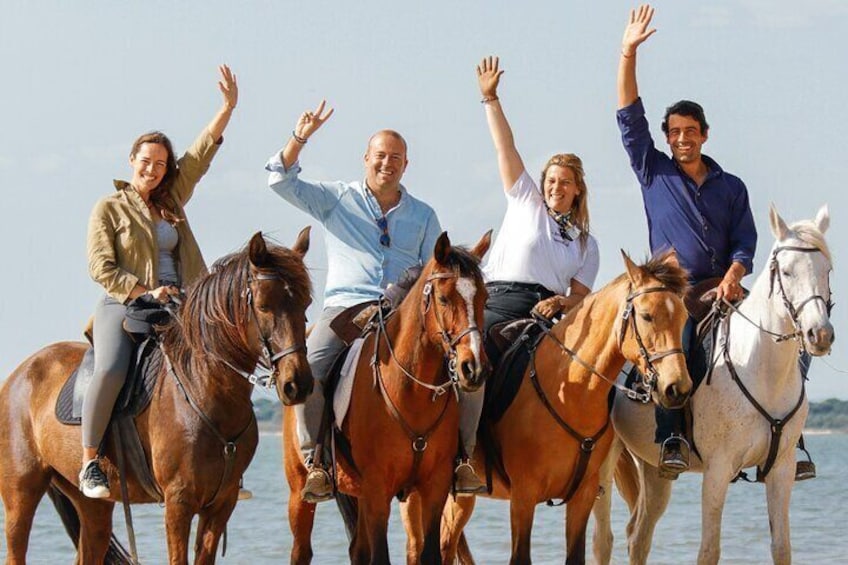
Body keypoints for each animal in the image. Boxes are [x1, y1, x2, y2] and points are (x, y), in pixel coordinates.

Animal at [0, 229, 314, 564]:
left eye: (306, 303)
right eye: (264, 306)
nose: (298, 384)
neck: (206, 389)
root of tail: (19, 374)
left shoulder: (221, 504)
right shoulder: (179, 501)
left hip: (92, 507)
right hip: (21, 493)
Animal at [284, 230, 494, 564]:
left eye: (484, 298)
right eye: (444, 298)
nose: (473, 368)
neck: (410, 392)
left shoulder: (433, 488)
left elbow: (428, 554)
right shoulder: (377, 490)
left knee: (357, 549)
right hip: (300, 491)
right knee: (301, 549)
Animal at [440, 249, 692, 564]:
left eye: (683, 317)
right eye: (646, 315)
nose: (677, 388)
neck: (571, 390)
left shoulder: (582, 495)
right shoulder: (523, 496)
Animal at [588, 204, 836, 564]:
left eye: (826, 269)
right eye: (787, 272)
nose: (820, 334)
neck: (763, 372)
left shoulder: (782, 470)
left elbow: (781, 548)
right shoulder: (718, 470)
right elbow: (709, 550)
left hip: (654, 469)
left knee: (639, 536)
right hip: (604, 463)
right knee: (603, 539)